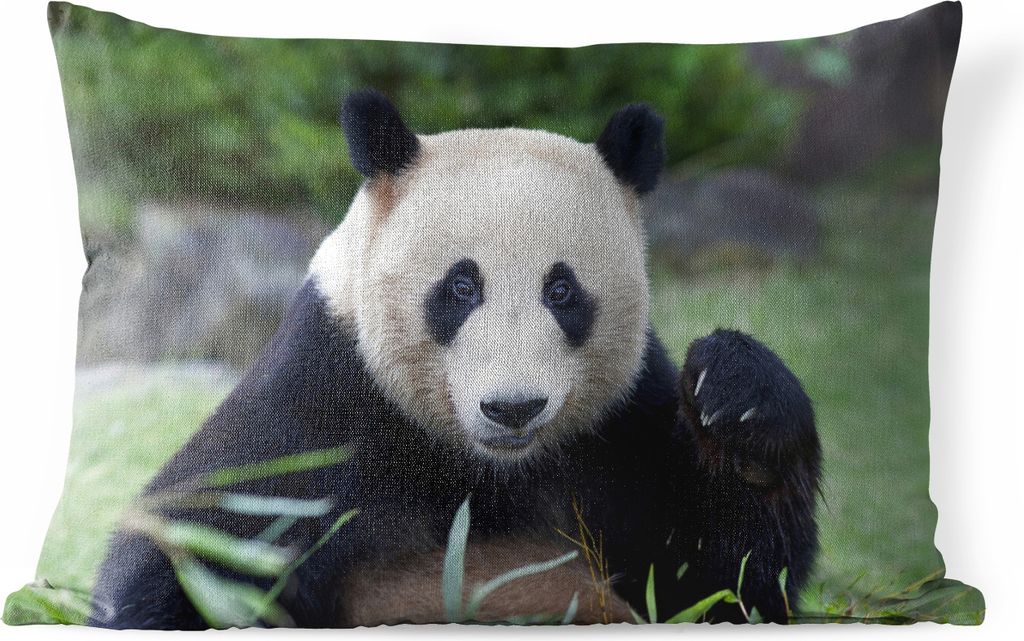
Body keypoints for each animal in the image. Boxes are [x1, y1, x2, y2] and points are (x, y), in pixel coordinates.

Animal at [89, 90, 821, 629]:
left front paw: (739, 405)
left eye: (562, 290)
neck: (484, 466)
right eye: (461, 287)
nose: (513, 407)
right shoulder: (319, 406)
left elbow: (723, 580)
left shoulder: (619, 426)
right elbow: (188, 546)